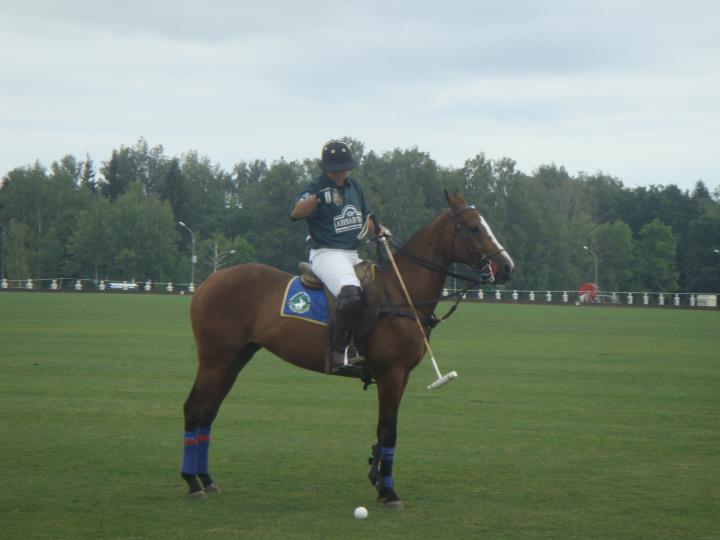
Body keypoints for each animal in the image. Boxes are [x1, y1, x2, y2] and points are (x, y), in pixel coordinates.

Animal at [180, 191, 514, 507]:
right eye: (473, 227)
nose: (507, 267)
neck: (402, 292)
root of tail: (207, 282)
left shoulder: (401, 376)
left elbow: (383, 429)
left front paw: (378, 481)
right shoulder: (391, 374)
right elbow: (389, 430)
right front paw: (389, 492)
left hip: (236, 357)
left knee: (209, 411)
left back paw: (206, 478)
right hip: (214, 358)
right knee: (194, 408)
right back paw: (192, 483)